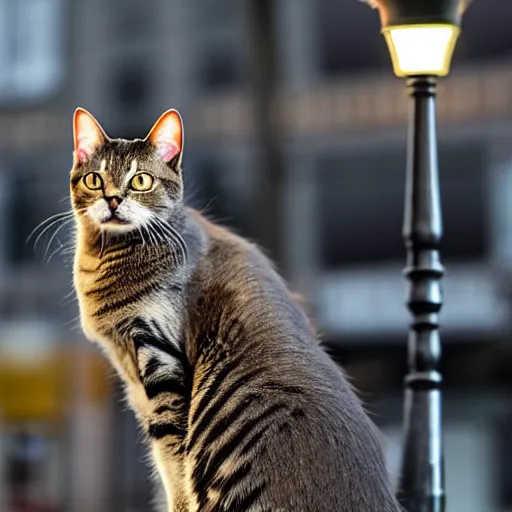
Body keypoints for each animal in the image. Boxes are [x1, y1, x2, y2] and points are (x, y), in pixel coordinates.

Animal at [70, 108, 402, 512]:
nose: (114, 200)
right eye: (94, 179)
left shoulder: (160, 363)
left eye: (141, 181)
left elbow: (174, 465)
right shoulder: (134, 383)